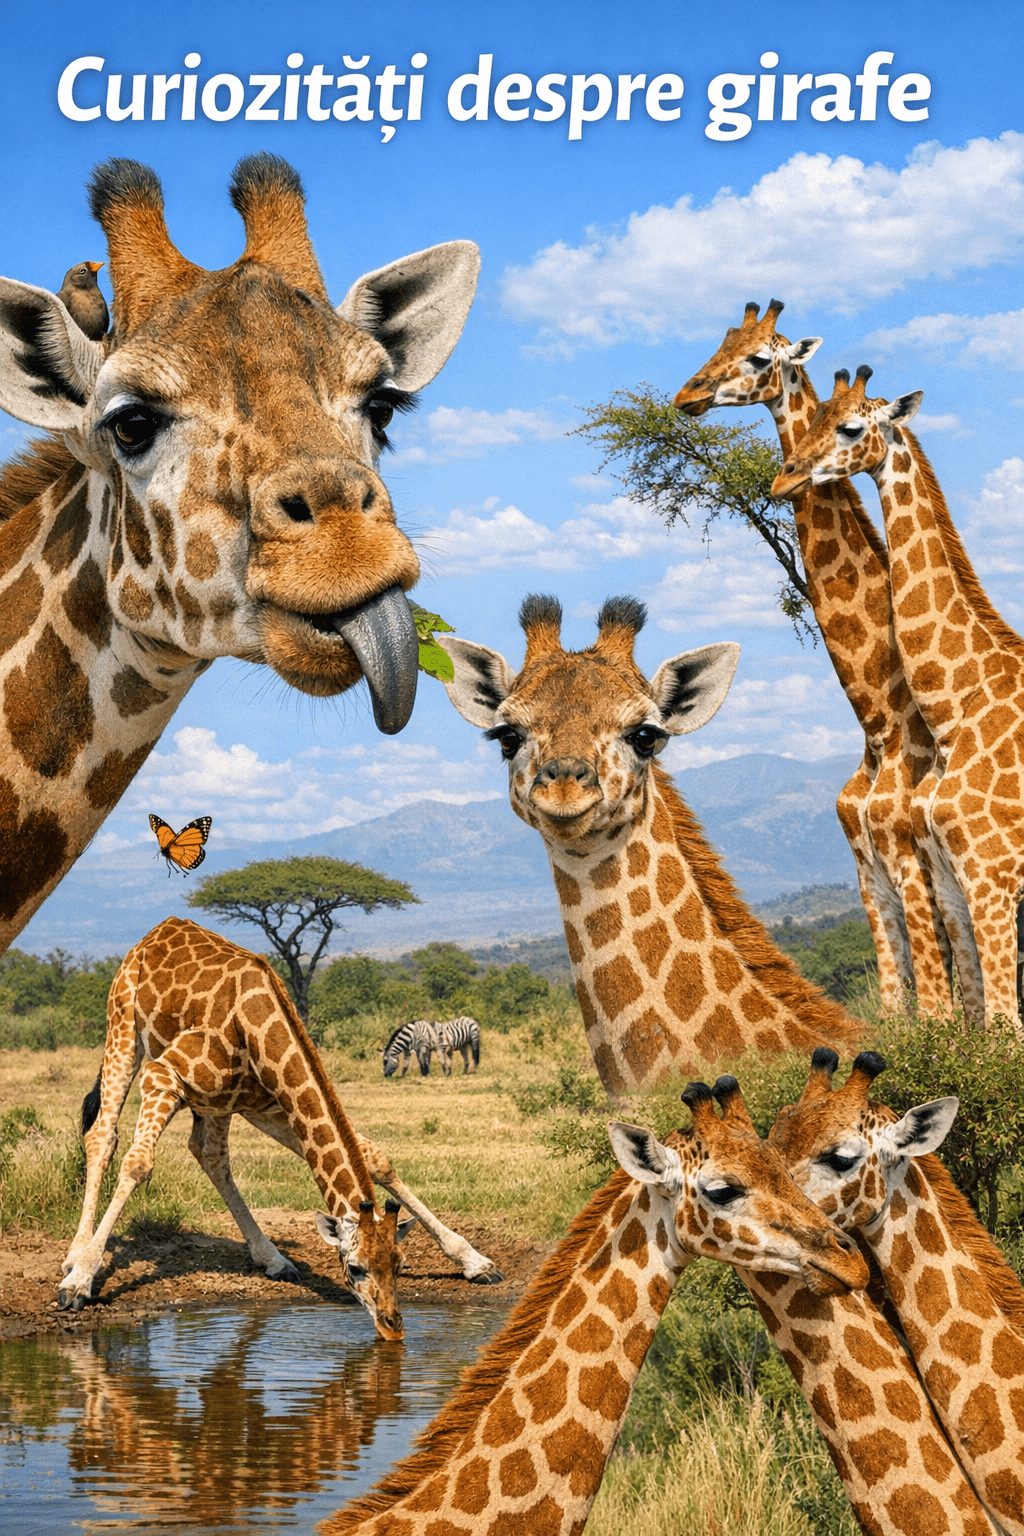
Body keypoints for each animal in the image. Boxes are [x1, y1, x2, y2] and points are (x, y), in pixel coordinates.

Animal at [59, 918, 502, 1334]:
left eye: (401, 1263)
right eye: (355, 1268)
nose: (391, 1324)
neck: (256, 1028)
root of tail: (159, 930)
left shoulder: (272, 1103)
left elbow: (374, 1157)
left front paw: (475, 1261)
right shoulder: (164, 1076)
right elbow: (137, 1164)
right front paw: (80, 1281)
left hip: (221, 1102)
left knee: (210, 1154)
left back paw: (273, 1258)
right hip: (123, 1028)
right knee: (102, 1136)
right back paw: (75, 1257)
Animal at [675, 301, 952, 1014]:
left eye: (757, 357)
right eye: (721, 341)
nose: (687, 396)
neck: (880, 723)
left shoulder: (913, 860)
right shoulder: (866, 866)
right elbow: (899, 1006)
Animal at [771, 367, 1024, 1025]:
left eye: (849, 426)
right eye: (814, 415)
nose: (785, 476)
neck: (954, 709)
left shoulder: (989, 879)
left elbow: (999, 1026)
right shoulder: (950, 880)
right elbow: (976, 1021)